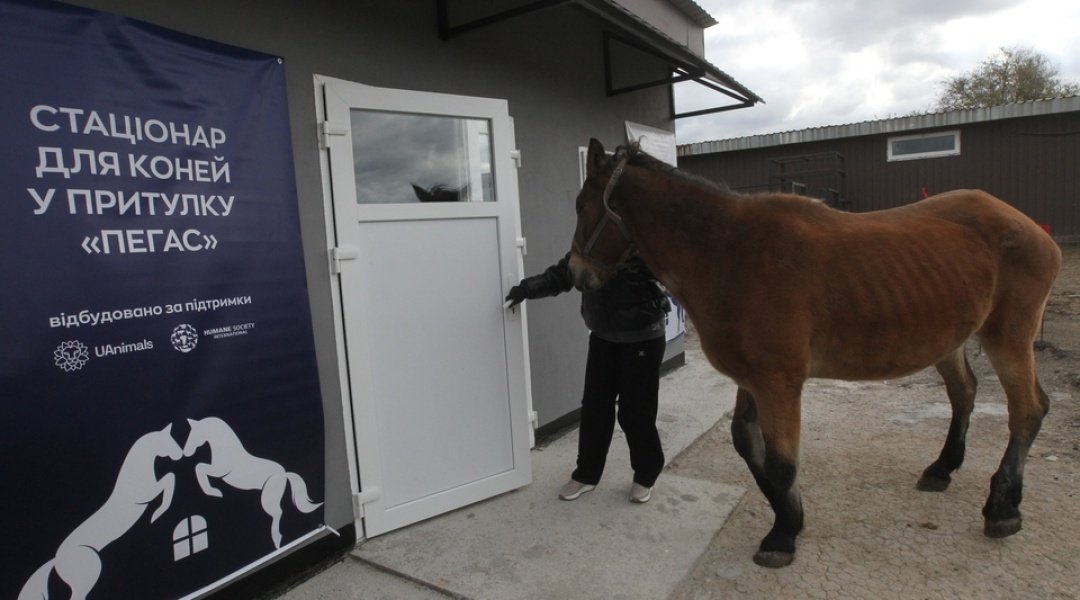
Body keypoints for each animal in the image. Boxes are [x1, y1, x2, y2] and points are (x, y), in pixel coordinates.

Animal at [574, 138, 1062, 569]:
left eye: (581, 206)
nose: (574, 273)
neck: (732, 253)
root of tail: (1029, 227)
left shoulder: (779, 383)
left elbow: (782, 462)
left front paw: (781, 536)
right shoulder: (753, 379)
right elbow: (746, 441)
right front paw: (790, 514)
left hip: (1008, 339)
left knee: (1028, 410)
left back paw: (1002, 508)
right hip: (952, 339)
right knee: (965, 394)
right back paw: (942, 469)